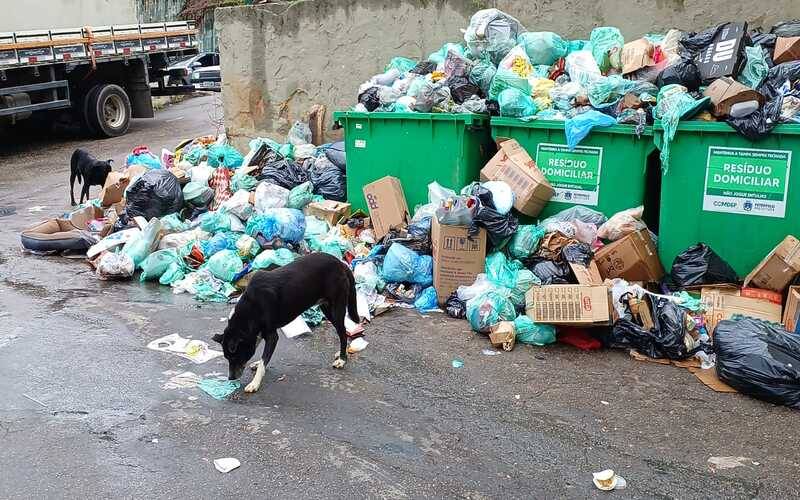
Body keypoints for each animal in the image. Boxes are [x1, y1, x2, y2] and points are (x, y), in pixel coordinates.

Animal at [214, 252, 360, 392]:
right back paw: (342, 353)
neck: (249, 310)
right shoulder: (257, 332)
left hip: (336, 308)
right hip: (326, 308)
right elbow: (260, 352)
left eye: (235, 357)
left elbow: (263, 361)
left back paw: (342, 359)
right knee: (342, 331)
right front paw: (257, 363)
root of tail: (340, 263)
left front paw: (255, 383)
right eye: (227, 358)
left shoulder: (272, 336)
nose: (231, 378)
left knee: (342, 333)